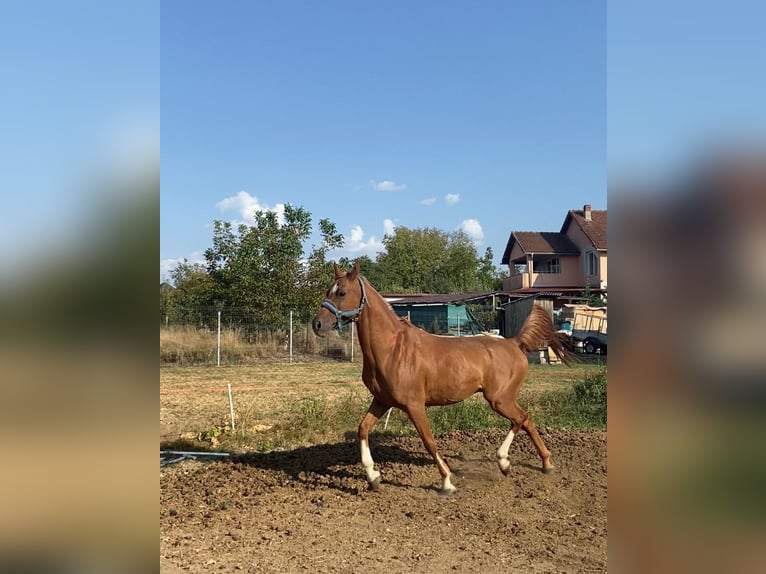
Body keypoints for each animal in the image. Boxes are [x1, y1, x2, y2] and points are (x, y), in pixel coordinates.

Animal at [316, 260, 572, 496]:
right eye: (328, 291)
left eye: (341, 292)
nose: (317, 324)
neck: (391, 349)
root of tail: (513, 342)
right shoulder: (382, 401)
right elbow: (363, 429)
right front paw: (373, 477)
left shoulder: (414, 405)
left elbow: (429, 441)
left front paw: (447, 482)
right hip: (504, 399)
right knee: (525, 420)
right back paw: (545, 463)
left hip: (500, 399)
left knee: (520, 419)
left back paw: (504, 461)